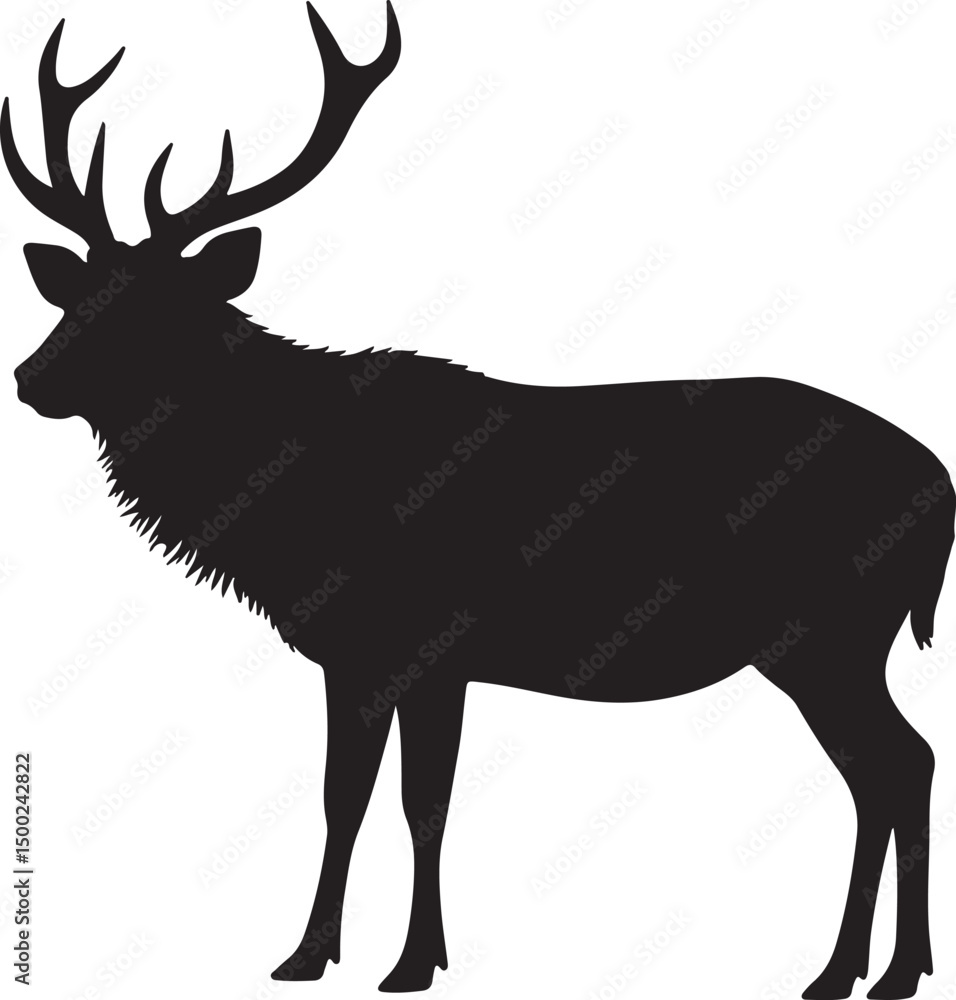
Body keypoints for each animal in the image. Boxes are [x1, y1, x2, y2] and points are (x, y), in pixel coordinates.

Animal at [2, 4, 953, 998]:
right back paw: (874, 968)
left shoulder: (424, 646)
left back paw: (866, 970)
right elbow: (350, 799)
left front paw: (405, 961)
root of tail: (944, 491)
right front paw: (316, 953)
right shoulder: (367, 656)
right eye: (78, 294)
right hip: (828, 646)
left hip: (832, 635)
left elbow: (416, 804)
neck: (289, 508)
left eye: (157, 308)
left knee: (900, 764)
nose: (29, 376)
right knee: (894, 767)